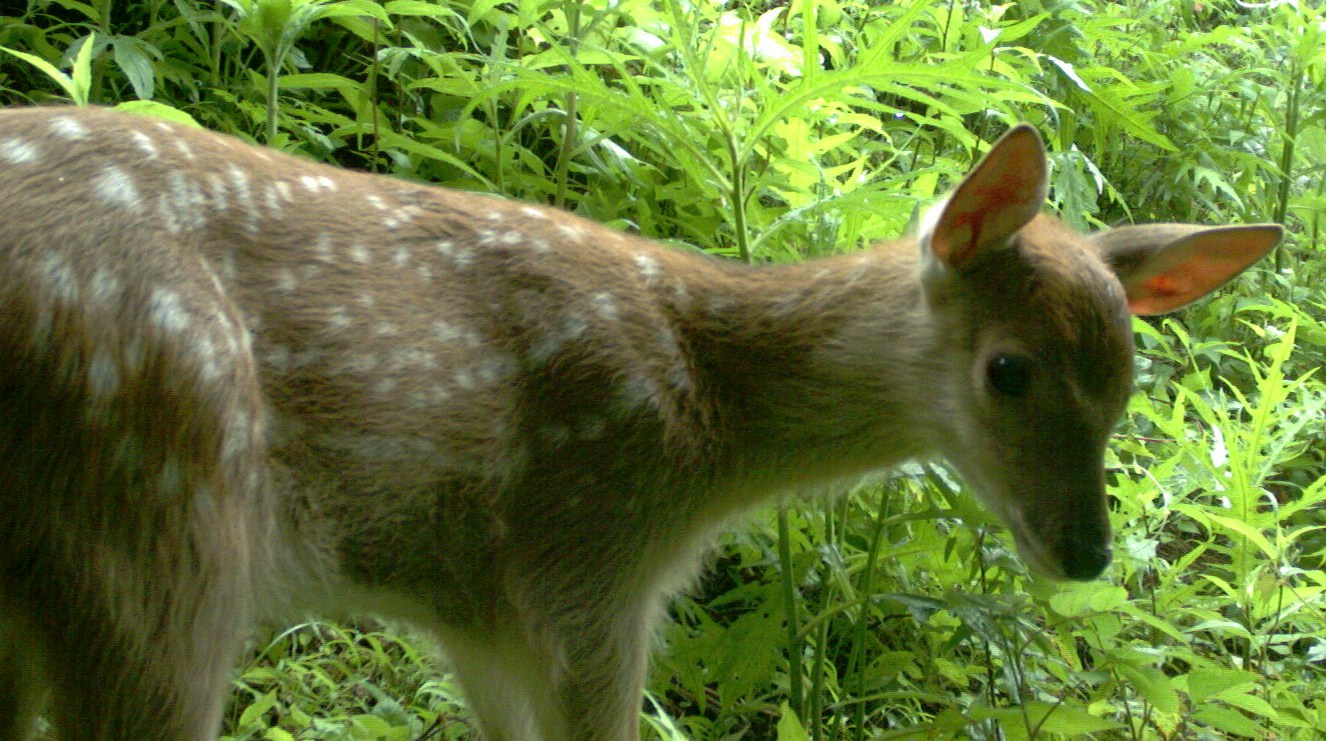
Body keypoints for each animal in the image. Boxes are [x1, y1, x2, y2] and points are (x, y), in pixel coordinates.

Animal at [0, 106, 1283, 741]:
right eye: (1008, 370)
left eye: (1125, 386)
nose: (1088, 553)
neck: (703, 417)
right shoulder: (584, 568)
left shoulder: (478, 611)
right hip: (163, 502)